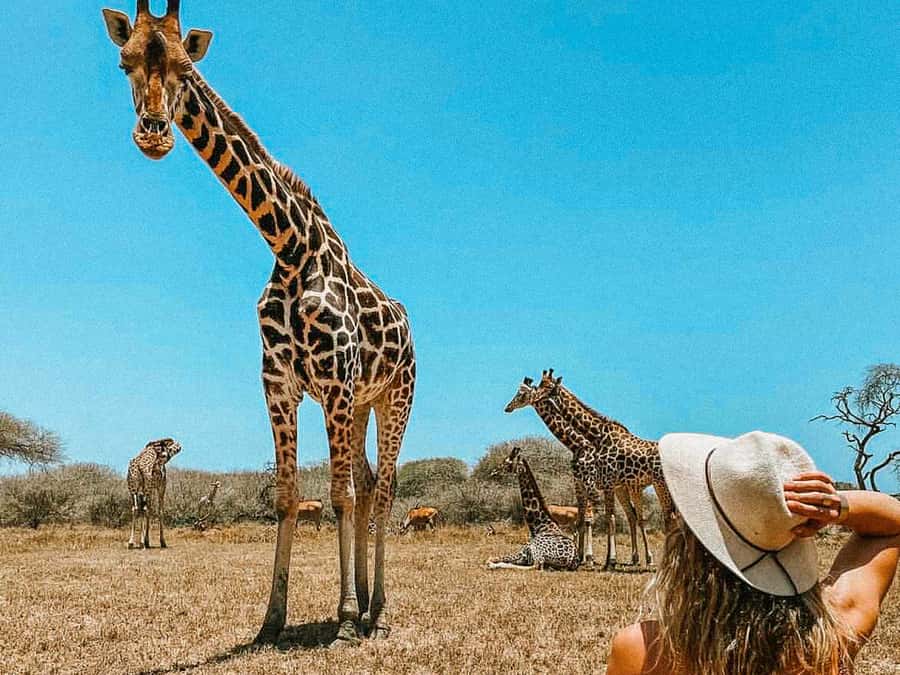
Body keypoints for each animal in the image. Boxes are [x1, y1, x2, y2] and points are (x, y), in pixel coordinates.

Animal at [102, 1, 416, 646]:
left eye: (186, 67)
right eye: (125, 63)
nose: (153, 134)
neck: (289, 245)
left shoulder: (335, 381)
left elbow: (339, 495)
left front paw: (343, 620)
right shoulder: (280, 386)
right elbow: (288, 495)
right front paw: (272, 619)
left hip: (394, 396)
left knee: (384, 489)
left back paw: (377, 610)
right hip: (363, 402)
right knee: (370, 483)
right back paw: (366, 601)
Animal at [504, 378, 638, 569]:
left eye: (522, 393)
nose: (507, 407)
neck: (578, 444)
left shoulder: (591, 484)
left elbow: (593, 519)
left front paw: (592, 559)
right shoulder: (579, 482)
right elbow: (582, 519)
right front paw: (582, 557)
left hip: (632, 486)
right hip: (620, 488)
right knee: (632, 515)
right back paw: (636, 559)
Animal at [537, 369, 674, 567]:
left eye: (547, 386)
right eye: (540, 384)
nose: (535, 395)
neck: (596, 435)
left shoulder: (606, 483)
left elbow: (608, 517)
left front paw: (608, 560)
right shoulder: (601, 484)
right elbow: (605, 517)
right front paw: (602, 559)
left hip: (658, 485)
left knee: (666, 517)